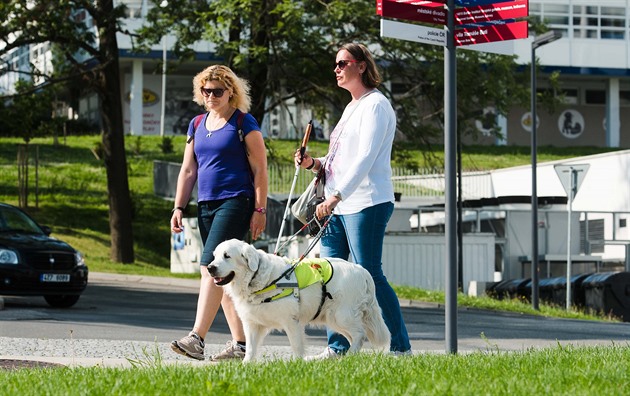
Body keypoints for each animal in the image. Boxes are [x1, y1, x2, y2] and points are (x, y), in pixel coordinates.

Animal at [210, 238, 392, 362]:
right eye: (215, 256)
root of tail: (362, 270)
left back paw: (351, 356)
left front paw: (297, 364)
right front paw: (246, 365)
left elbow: (296, 346)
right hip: (334, 318)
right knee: (354, 336)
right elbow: (250, 348)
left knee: (360, 334)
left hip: (341, 315)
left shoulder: (291, 321)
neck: (259, 279)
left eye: (227, 256)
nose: (210, 267)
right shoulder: (252, 323)